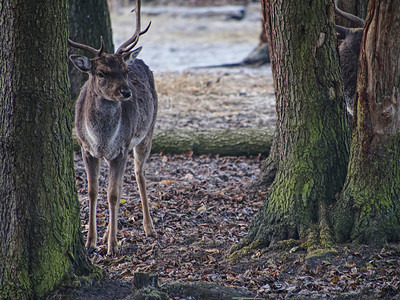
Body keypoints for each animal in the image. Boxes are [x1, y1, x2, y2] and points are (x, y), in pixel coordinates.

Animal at [68, 0, 157, 258]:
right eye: (100, 73)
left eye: (125, 72)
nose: (126, 92)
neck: (102, 139)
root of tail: (137, 59)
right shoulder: (85, 149)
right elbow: (93, 191)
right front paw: (91, 242)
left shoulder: (121, 150)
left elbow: (114, 194)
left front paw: (113, 245)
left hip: (146, 133)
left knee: (139, 173)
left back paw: (149, 228)